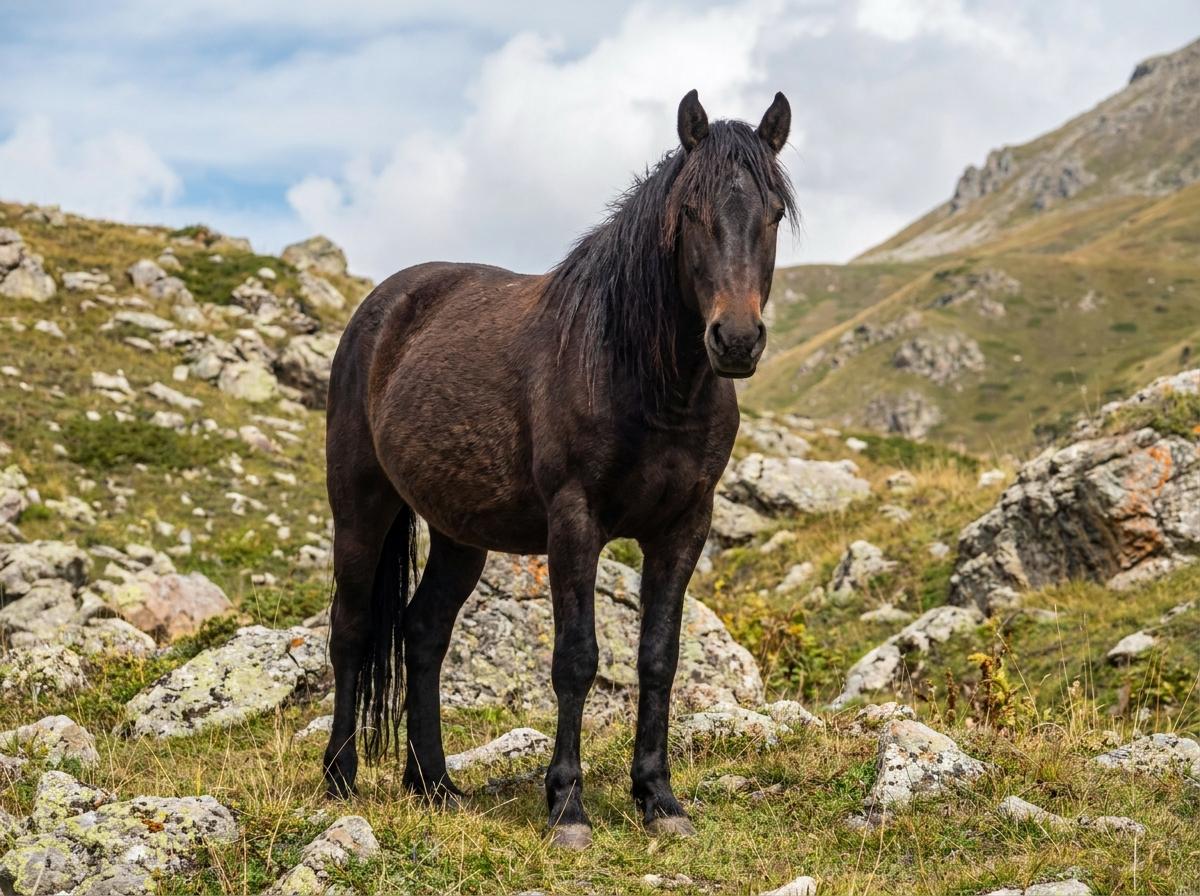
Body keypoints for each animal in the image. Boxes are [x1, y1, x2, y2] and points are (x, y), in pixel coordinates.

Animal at [322, 89, 796, 849]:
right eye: (690, 213)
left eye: (774, 213)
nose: (736, 340)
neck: (644, 379)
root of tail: (383, 306)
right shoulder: (575, 522)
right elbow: (577, 658)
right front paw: (567, 808)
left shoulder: (683, 527)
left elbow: (658, 658)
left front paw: (659, 800)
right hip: (362, 506)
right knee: (354, 628)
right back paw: (339, 778)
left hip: (459, 534)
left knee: (424, 634)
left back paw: (434, 784)